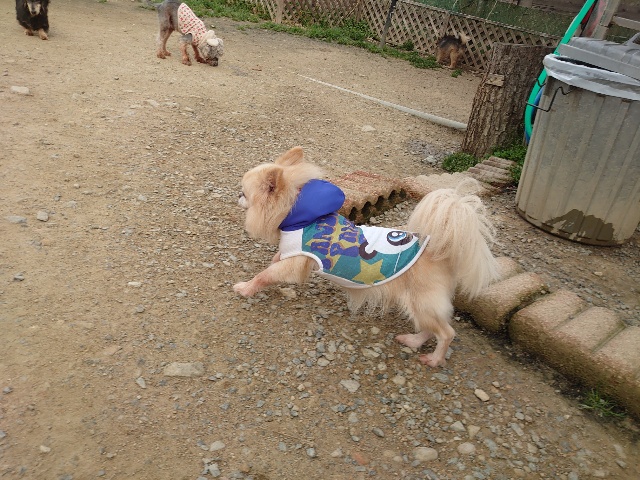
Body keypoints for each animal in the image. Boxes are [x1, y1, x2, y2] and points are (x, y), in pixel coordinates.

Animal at [233, 146, 500, 367]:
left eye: (245, 193)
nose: (237, 196)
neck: (296, 214)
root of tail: (440, 251)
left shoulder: (296, 263)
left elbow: (266, 274)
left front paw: (246, 288)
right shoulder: (289, 254)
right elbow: (275, 259)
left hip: (422, 302)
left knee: (446, 333)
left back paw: (434, 359)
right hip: (422, 306)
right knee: (430, 328)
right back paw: (413, 341)